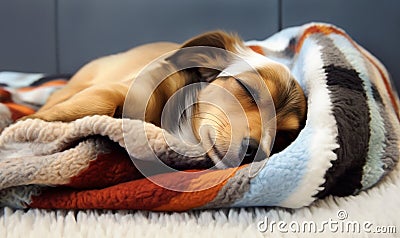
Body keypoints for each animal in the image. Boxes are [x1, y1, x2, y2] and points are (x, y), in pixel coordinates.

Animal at [25, 31, 306, 168]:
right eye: (247, 89)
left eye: (284, 135)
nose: (255, 152)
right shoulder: (119, 89)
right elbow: (100, 102)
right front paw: (34, 122)